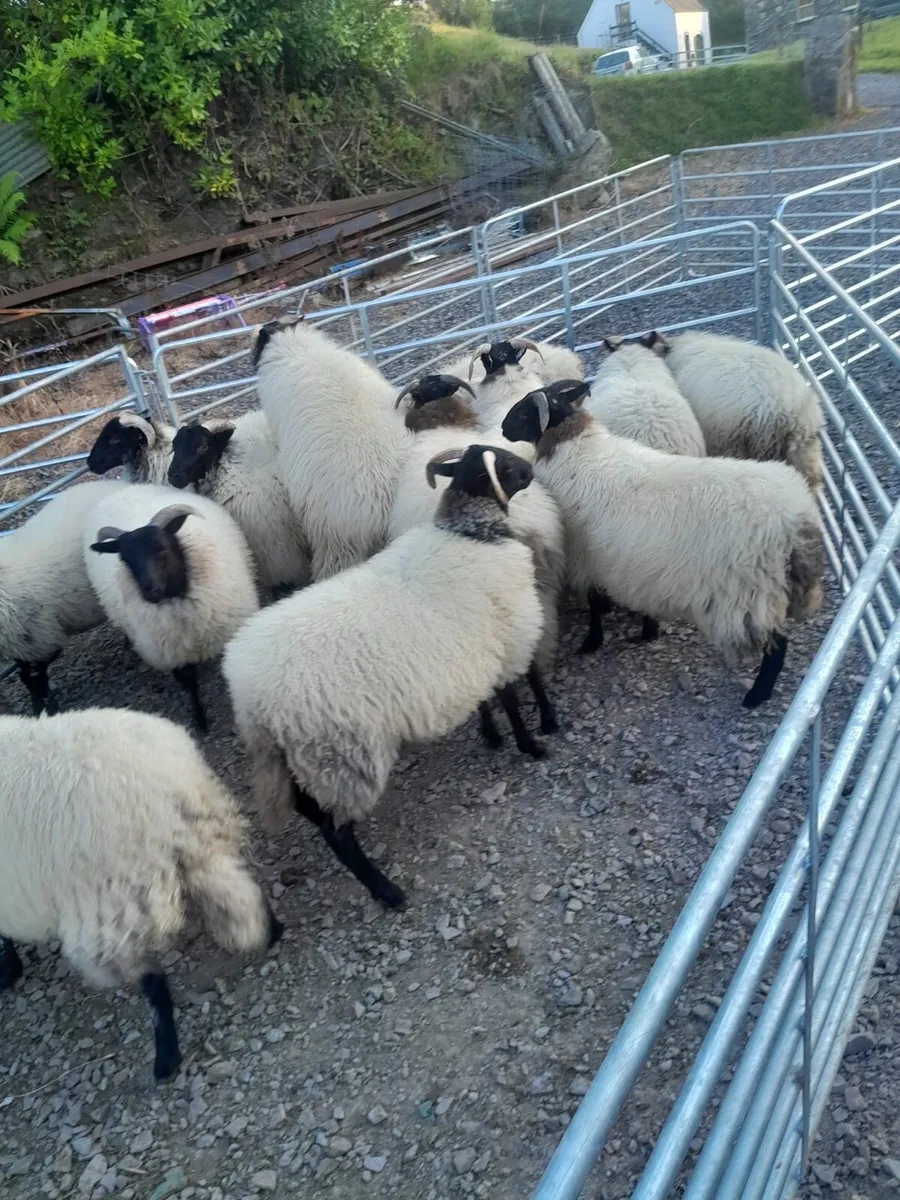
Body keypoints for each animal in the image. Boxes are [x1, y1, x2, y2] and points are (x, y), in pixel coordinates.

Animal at [0, 479, 124, 715]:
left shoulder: (43, 638)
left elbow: (37, 679)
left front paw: (49, 709)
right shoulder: (22, 645)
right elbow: (25, 677)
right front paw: (36, 709)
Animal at [0, 706, 282, 1080]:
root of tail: (163, 783)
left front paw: (7, 971)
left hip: (115, 895)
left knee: (151, 978)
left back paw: (166, 1060)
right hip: (199, 837)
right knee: (235, 891)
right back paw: (270, 931)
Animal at [84, 484, 259, 731]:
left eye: (162, 549)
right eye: (125, 560)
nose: (150, 591)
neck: (179, 603)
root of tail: (124, 489)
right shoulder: (170, 652)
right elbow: (189, 683)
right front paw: (200, 720)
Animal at [222, 444, 548, 908]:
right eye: (503, 466)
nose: (531, 466)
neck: (471, 534)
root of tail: (248, 694)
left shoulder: (476, 654)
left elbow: (488, 700)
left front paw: (491, 735)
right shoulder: (511, 640)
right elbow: (511, 700)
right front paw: (531, 745)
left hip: (304, 756)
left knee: (305, 805)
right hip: (342, 757)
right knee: (337, 833)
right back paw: (386, 891)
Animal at [501, 382, 824, 709]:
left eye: (525, 412)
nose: (502, 428)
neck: (575, 448)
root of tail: (797, 520)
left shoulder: (586, 558)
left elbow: (594, 604)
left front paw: (592, 641)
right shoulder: (631, 565)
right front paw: (647, 631)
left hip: (748, 596)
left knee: (777, 645)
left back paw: (757, 695)